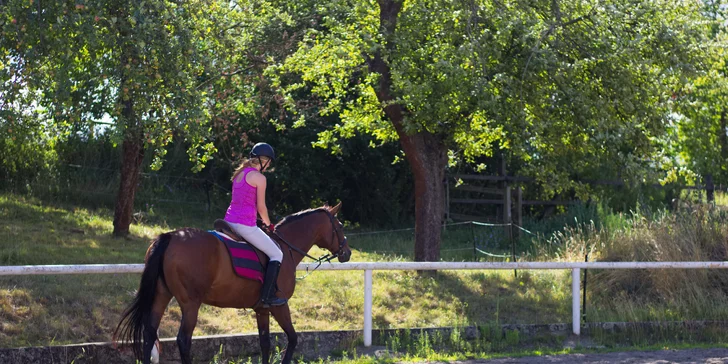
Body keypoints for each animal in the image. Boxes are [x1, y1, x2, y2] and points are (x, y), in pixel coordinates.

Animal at [115, 203, 352, 362]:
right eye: (340, 226)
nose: (347, 253)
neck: (285, 248)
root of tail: (172, 236)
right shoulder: (280, 305)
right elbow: (293, 339)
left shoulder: (262, 309)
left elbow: (265, 343)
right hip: (190, 304)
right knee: (183, 340)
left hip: (161, 296)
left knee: (149, 334)